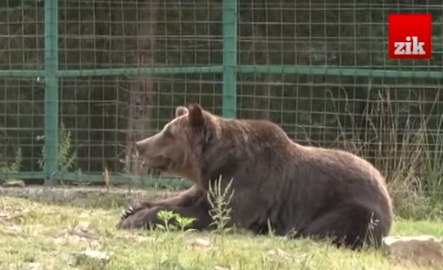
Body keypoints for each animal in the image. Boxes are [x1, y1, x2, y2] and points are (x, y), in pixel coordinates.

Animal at [118, 103, 396, 249]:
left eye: (168, 133)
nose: (140, 144)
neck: (214, 162)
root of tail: (384, 186)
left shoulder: (247, 182)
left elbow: (215, 216)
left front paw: (135, 219)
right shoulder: (213, 183)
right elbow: (182, 199)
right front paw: (130, 209)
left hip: (354, 207)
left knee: (326, 228)